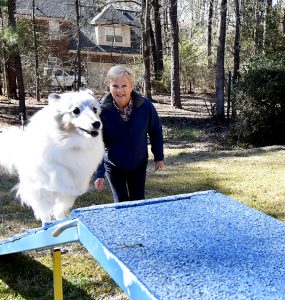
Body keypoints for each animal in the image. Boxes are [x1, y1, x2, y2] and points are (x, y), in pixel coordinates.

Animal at [0, 90, 103, 224]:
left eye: (94, 109)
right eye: (76, 111)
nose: (97, 123)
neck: (71, 141)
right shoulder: (50, 166)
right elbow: (59, 171)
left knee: (58, 210)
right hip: (39, 193)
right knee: (44, 212)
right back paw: (47, 223)